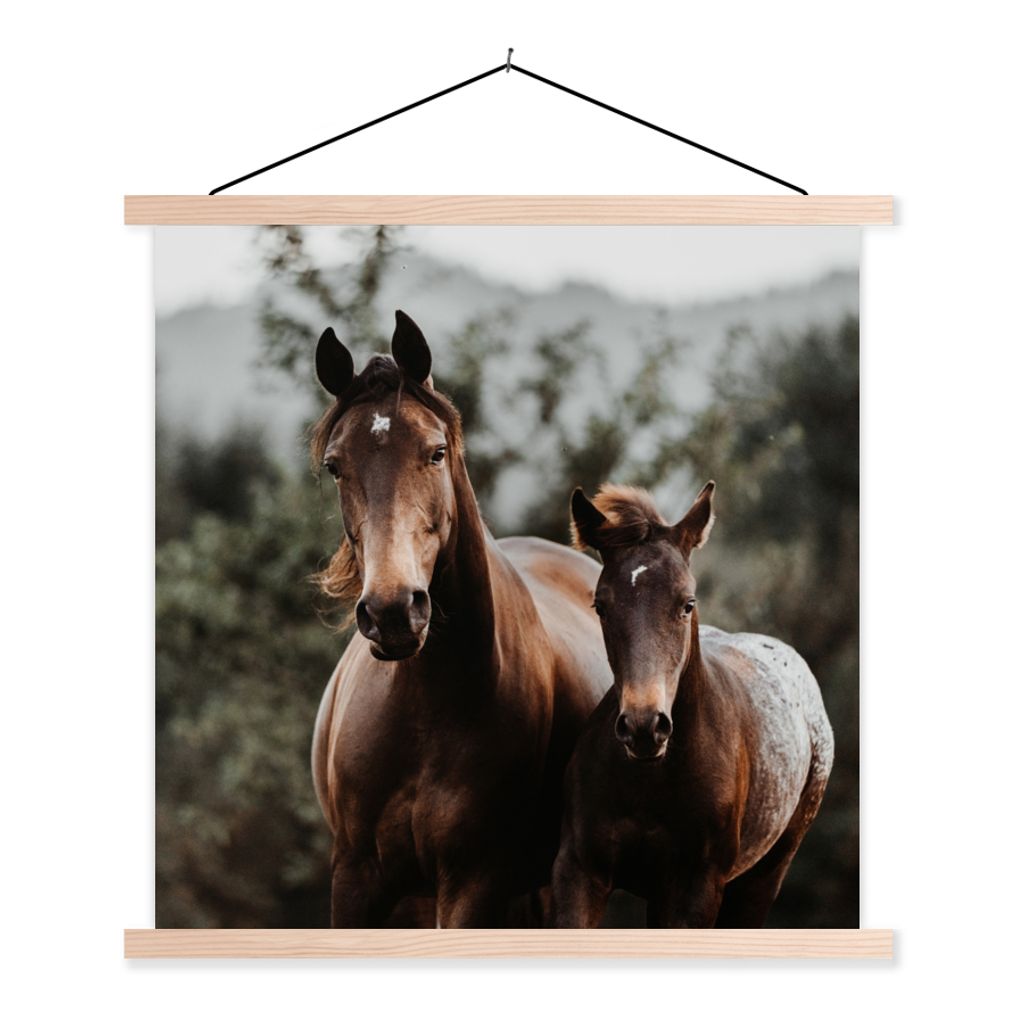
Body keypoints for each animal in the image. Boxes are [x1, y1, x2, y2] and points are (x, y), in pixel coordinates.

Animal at [309, 311, 612, 927]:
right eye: (335, 466)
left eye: (436, 452)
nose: (393, 612)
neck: (425, 706)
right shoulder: (354, 878)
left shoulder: (474, 882)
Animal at [552, 482, 834, 927]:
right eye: (600, 605)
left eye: (687, 603)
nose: (644, 727)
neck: (652, 778)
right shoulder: (579, 871)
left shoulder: (694, 888)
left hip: (761, 880)